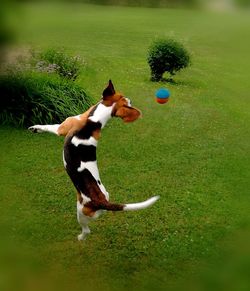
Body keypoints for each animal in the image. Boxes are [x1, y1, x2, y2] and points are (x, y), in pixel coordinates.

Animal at [28, 81, 159, 241]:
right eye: (123, 98)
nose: (131, 99)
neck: (95, 120)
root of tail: (103, 202)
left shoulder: (62, 128)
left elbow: (48, 127)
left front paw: (36, 128)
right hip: (101, 203)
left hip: (81, 212)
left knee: (86, 230)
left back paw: (80, 238)